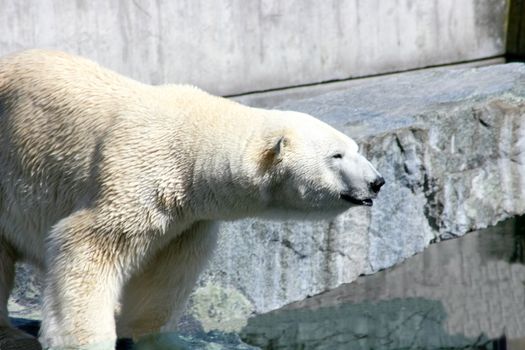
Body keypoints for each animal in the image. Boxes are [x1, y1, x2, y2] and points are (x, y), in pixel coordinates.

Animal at [0, 50, 384, 348]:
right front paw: (86, 339)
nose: (377, 182)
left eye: (355, 148)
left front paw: (152, 335)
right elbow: (86, 248)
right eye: (336, 155)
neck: (192, 150)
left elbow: (165, 276)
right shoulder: (133, 178)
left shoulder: (186, 219)